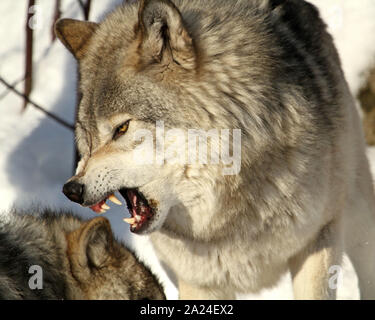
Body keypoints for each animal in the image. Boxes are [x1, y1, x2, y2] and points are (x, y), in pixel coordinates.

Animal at [55, 0, 375, 300]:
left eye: (121, 128)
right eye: (87, 135)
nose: (72, 189)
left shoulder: (318, 239)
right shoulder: (200, 281)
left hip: (356, 208)